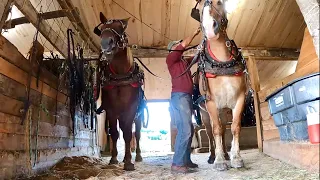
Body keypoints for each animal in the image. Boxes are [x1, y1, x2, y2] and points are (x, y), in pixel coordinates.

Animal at [93, 12, 147, 170]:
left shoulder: (130, 110)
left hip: (138, 117)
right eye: (102, 29)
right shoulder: (111, 111)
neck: (120, 76)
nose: (106, 43)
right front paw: (114, 158)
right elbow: (115, 133)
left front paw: (129, 162)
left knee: (137, 134)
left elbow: (129, 134)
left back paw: (138, 156)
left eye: (121, 28)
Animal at [192, 0, 248, 170]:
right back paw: (212, 155)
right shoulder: (211, 103)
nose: (210, 28)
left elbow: (234, 127)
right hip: (205, 113)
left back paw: (225, 153)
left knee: (223, 129)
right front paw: (219, 160)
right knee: (210, 132)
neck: (222, 63)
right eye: (199, 8)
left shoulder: (239, 99)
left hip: (223, 110)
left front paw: (235, 157)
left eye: (219, 2)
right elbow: (216, 130)